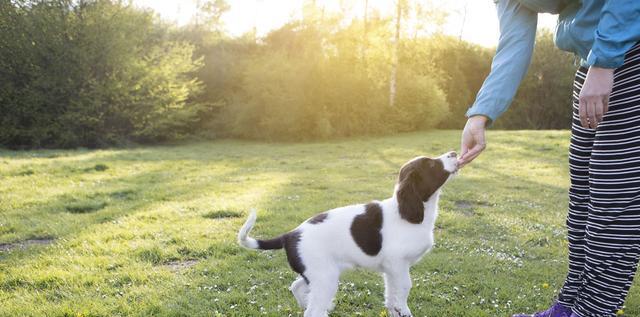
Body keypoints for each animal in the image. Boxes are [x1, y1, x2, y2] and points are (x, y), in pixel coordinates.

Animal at [238, 151, 458, 316]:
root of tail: (290, 235)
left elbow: (391, 294)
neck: (406, 211)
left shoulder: (391, 269)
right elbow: (404, 289)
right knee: (312, 311)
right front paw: (404, 310)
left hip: (318, 274)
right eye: (431, 165)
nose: (455, 153)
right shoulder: (398, 264)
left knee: (297, 287)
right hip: (325, 278)